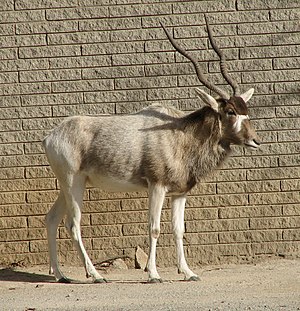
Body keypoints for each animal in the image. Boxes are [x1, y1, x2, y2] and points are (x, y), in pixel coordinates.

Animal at [42, 17, 260, 286]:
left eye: (245, 109)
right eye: (230, 111)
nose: (255, 140)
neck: (181, 133)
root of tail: (51, 136)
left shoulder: (179, 193)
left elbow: (179, 230)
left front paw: (188, 272)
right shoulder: (157, 186)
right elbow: (154, 228)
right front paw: (153, 274)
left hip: (69, 185)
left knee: (52, 219)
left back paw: (60, 274)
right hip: (73, 183)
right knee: (73, 224)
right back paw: (95, 275)